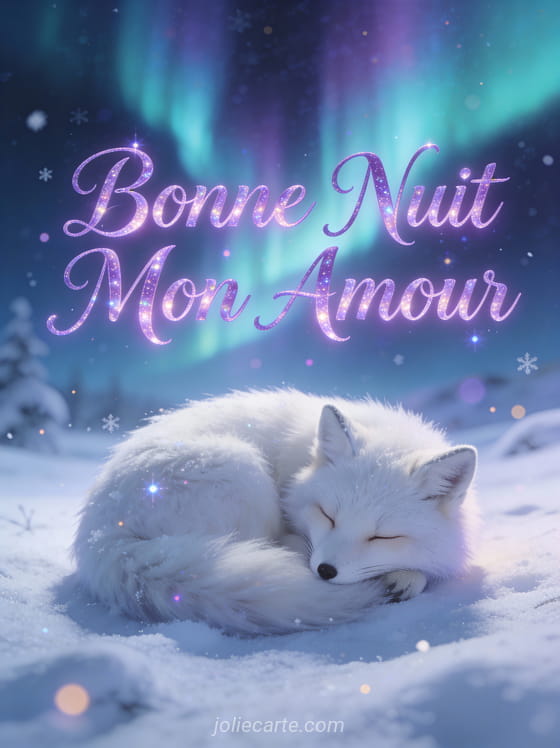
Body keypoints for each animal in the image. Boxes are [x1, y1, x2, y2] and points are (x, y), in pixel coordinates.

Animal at [73, 389, 478, 635]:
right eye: (328, 515)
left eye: (383, 535)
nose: (325, 571)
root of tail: (101, 535)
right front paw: (406, 576)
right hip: (245, 472)